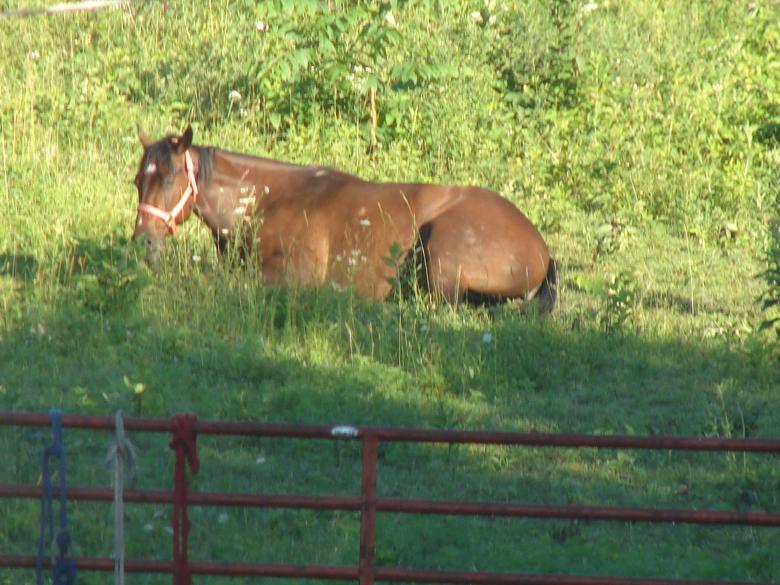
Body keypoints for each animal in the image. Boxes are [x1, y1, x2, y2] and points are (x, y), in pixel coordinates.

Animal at [131, 126, 557, 312]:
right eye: (138, 180)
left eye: (168, 178)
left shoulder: (291, 278)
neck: (267, 201)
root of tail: (541, 248)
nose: (144, 242)